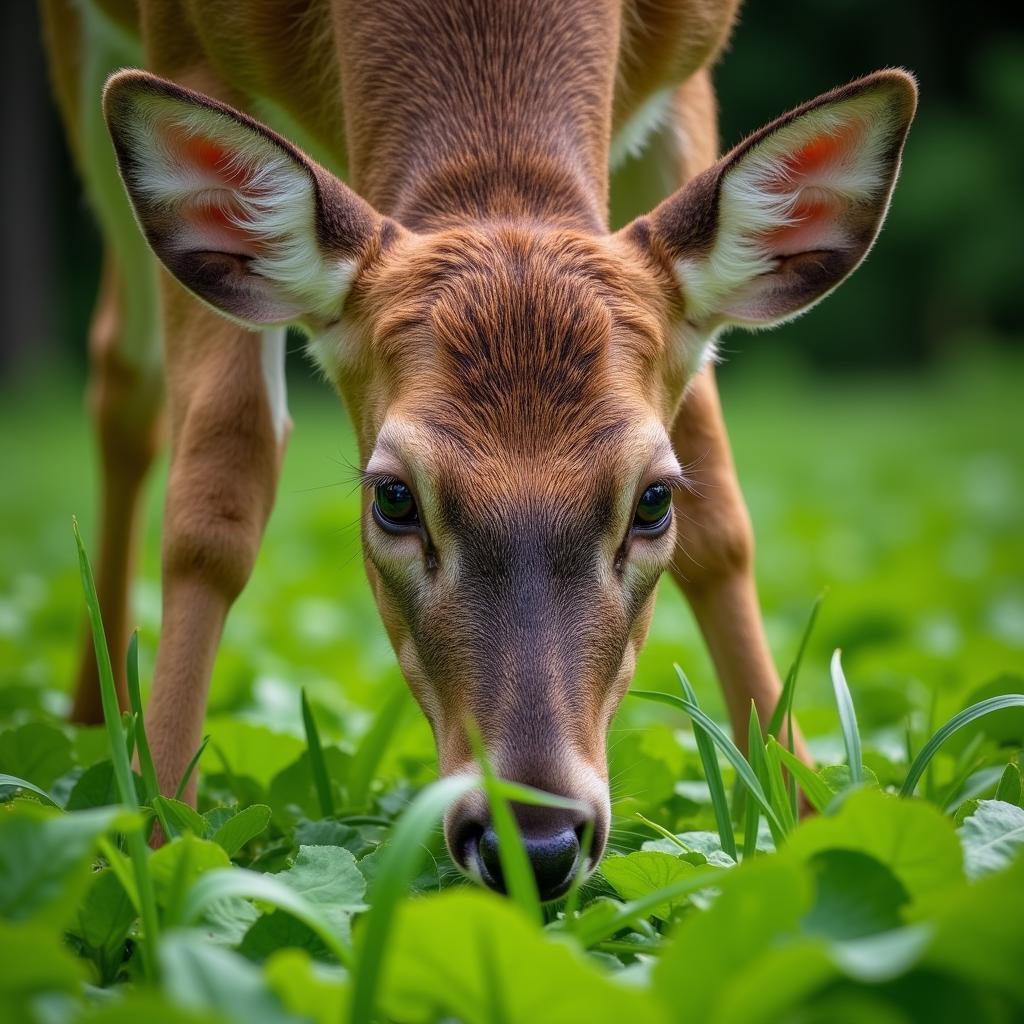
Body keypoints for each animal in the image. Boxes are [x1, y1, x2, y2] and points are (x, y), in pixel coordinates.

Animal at [44, 0, 917, 897]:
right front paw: (161, 846)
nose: (536, 839)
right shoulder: (184, 44)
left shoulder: (690, 75)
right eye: (392, 497)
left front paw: (806, 813)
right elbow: (218, 478)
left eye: (655, 499)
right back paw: (95, 725)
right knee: (125, 375)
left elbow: (722, 507)